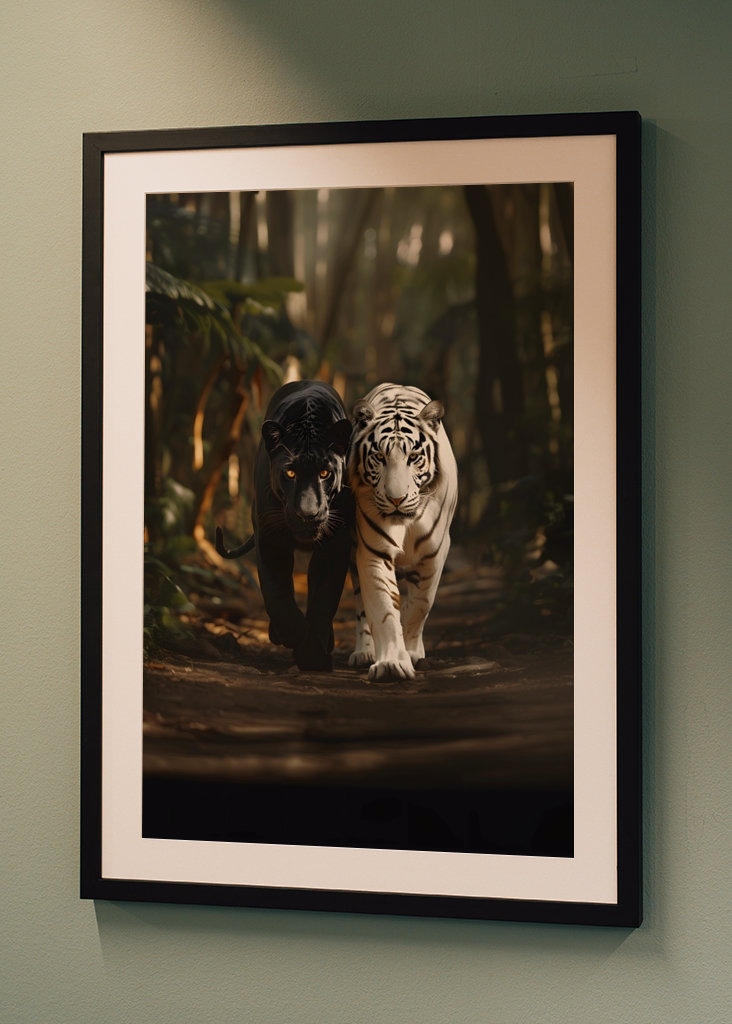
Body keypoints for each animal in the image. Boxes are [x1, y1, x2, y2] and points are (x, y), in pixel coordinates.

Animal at [347, 382, 458, 682]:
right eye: (379, 457)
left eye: (414, 457)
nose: (396, 499)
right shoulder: (373, 551)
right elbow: (384, 609)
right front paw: (391, 663)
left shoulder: (436, 552)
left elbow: (420, 604)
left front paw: (410, 651)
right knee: (361, 607)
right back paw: (364, 652)